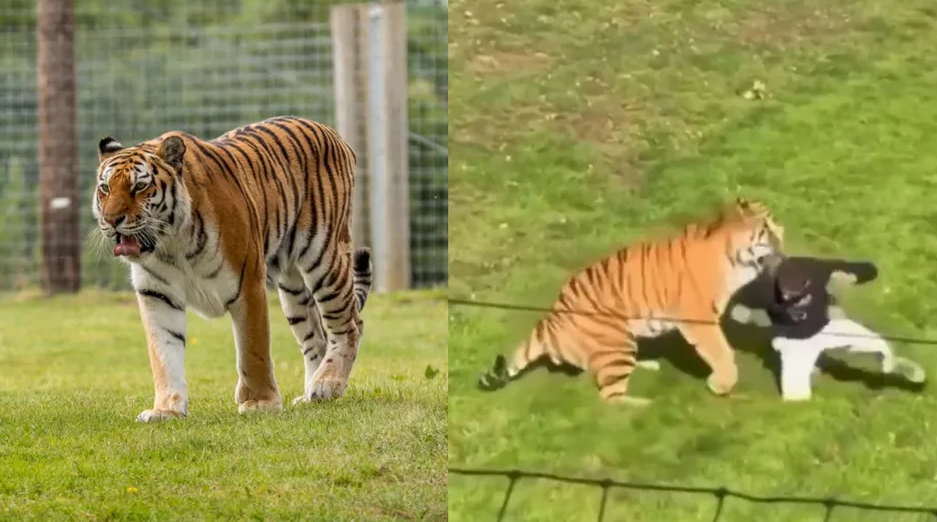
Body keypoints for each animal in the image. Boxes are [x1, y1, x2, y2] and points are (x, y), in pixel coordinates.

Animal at [92, 115, 372, 422]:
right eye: (105, 188)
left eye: (139, 187)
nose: (111, 220)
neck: (171, 243)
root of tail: (330, 131)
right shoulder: (157, 295)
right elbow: (164, 355)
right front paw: (166, 409)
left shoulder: (248, 284)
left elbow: (253, 351)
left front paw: (260, 403)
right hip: (292, 287)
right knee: (316, 339)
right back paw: (310, 395)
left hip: (324, 256)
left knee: (349, 325)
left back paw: (327, 385)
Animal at [477, 197, 785, 405]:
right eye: (768, 230)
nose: (784, 242)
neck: (733, 259)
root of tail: (549, 320)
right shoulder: (699, 319)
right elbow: (720, 350)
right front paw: (722, 384)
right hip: (616, 340)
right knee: (609, 398)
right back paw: (647, 405)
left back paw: (647, 365)